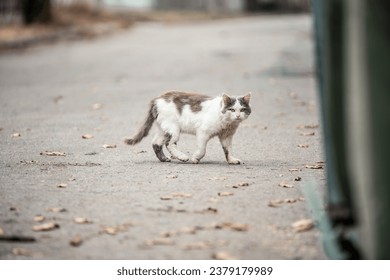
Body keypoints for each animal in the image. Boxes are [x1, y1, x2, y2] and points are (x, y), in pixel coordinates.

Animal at [125, 91, 253, 164]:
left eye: (242, 109)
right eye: (231, 109)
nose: (237, 116)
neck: (227, 123)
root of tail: (157, 99)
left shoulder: (226, 136)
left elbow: (228, 149)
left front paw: (231, 160)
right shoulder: (203, 132)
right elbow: (202, 149)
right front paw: (195, 158)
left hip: (164, 128)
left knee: (156, 142)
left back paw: (164, 159)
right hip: (173, 128)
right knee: (169, 143)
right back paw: (182, 157)